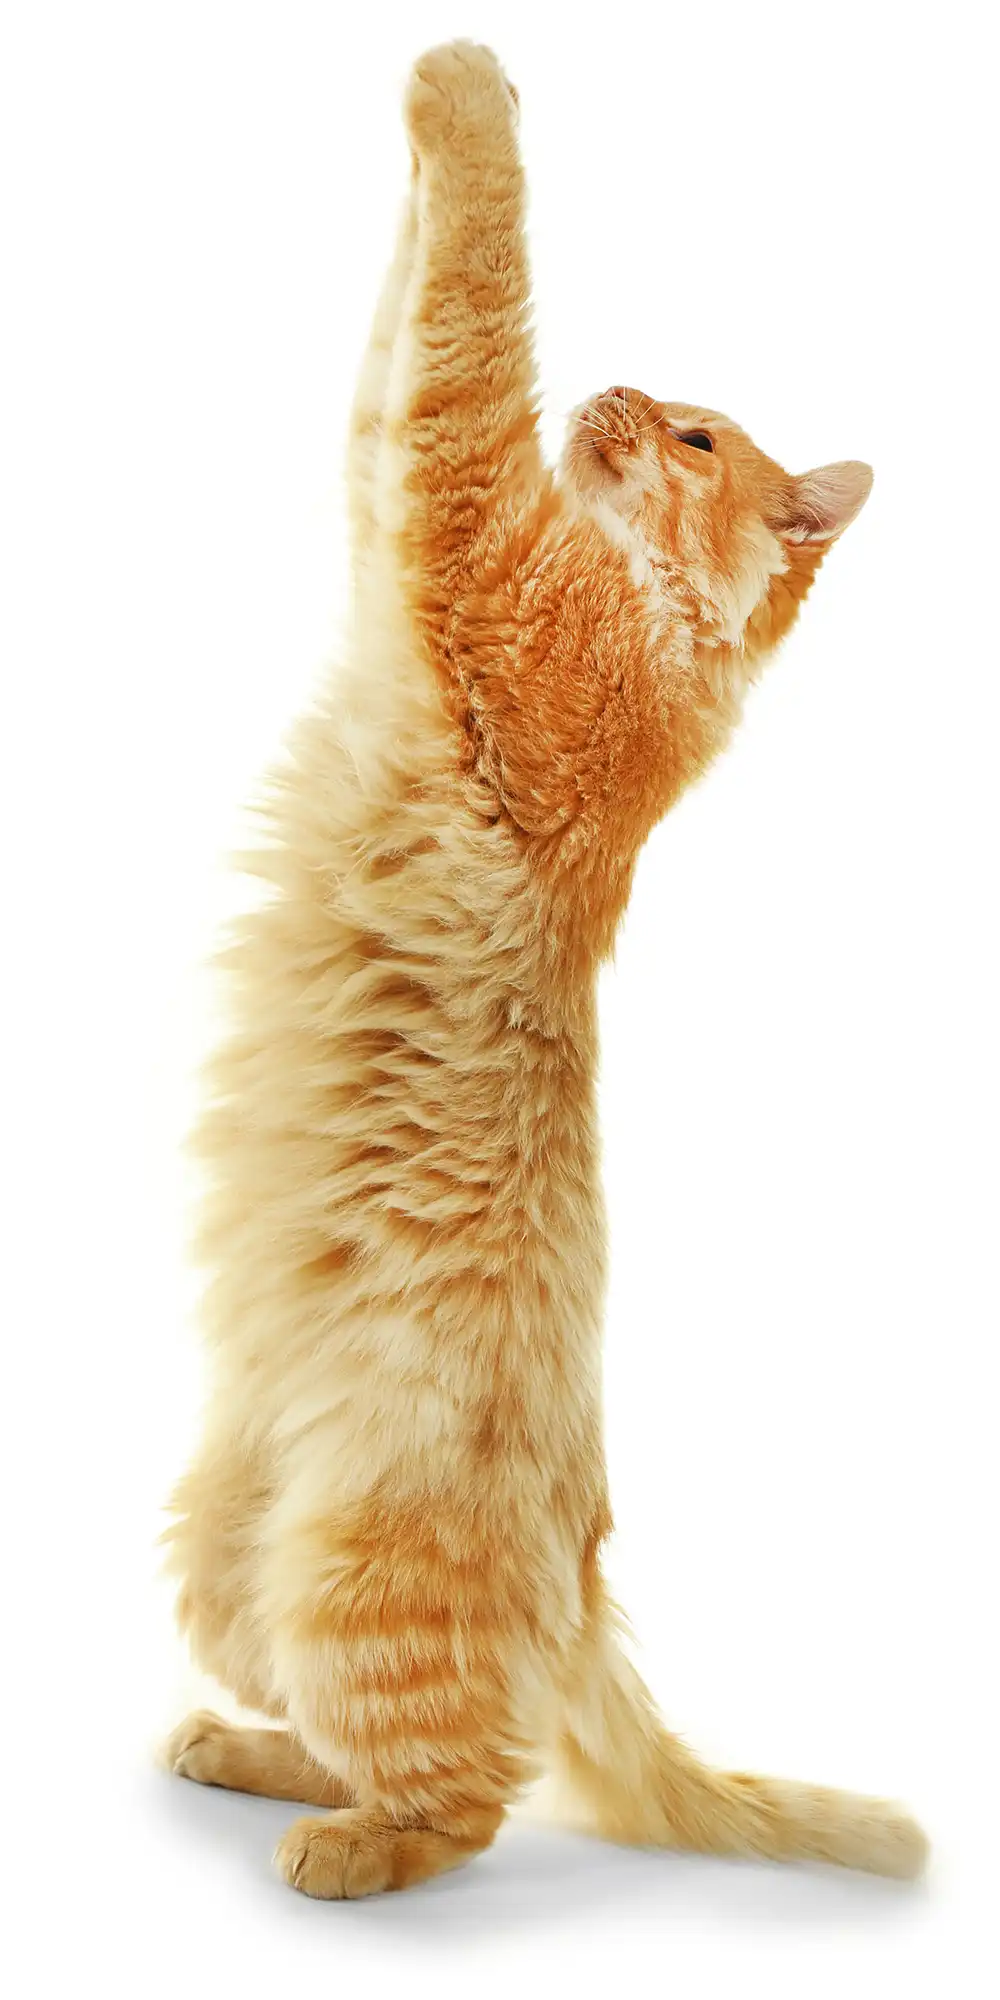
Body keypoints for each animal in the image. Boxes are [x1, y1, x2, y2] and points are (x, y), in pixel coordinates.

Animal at [163, 41, 925, 1899]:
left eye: (698, 436)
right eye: (664, 401)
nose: (630, 385)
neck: (664, 639)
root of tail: (582, 1577)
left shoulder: (459, 516)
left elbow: (474, 295)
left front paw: (463, 83)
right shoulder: (401, 502)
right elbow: (412, 316)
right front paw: (458, 91)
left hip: (353, 1570)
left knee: (472, 1796)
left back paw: (344, 1853)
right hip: (224, 1549)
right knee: (351, 1736)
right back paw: (236, 1753)